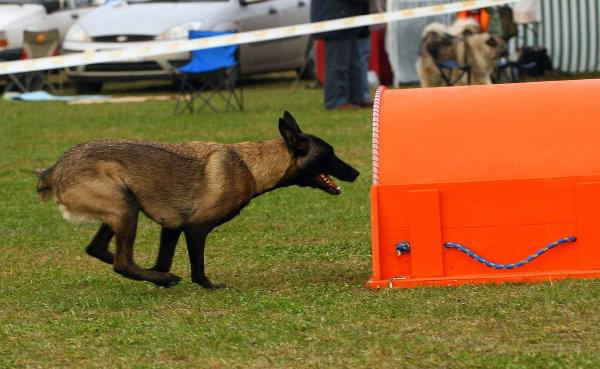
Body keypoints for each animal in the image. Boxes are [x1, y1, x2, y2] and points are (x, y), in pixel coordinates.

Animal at [35, 110, 358, 288]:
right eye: (329, 154)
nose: (355, 172)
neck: (249, 164)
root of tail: (54, 170)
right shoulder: (195, 228)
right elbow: (198, 266)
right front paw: (207, 285)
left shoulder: (171, 227)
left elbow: (164, 259)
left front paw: (159, 274)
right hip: (125, 206)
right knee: (122, 263)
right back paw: (161, 278)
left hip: (122, 207)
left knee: (99, 250)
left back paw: (154, 275)